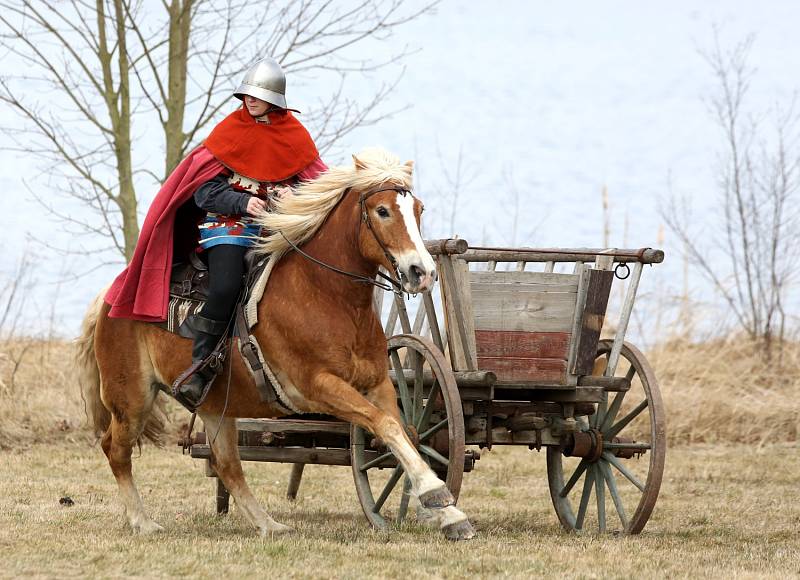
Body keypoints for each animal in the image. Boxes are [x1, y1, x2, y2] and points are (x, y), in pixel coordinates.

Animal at [76, 148, 476, 540]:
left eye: (418, 209)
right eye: (382, 210)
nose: (422, 272)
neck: (328, 297)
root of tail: (113, 294)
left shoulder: (377, 383)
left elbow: (404, 432)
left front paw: (450, 514)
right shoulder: (320, 387)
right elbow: (386, 426)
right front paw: (436, 493)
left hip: (214, 406)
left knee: (227, 465)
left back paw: (268, 524)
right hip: (131, 398)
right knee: (116, 450)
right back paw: (142, 521)